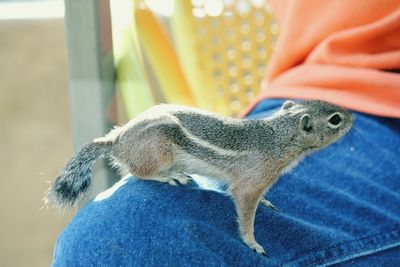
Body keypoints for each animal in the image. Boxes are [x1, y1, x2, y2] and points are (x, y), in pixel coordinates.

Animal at [45, 100, 354, 255]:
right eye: (335, 119)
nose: (353, 117)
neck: (277, 136)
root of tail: (116, 139)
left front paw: (266, 202)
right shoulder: (249, 184)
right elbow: (245, 213)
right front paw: (253, 243)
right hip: (158, 151)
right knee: (137, 171)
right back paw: (171, 177)